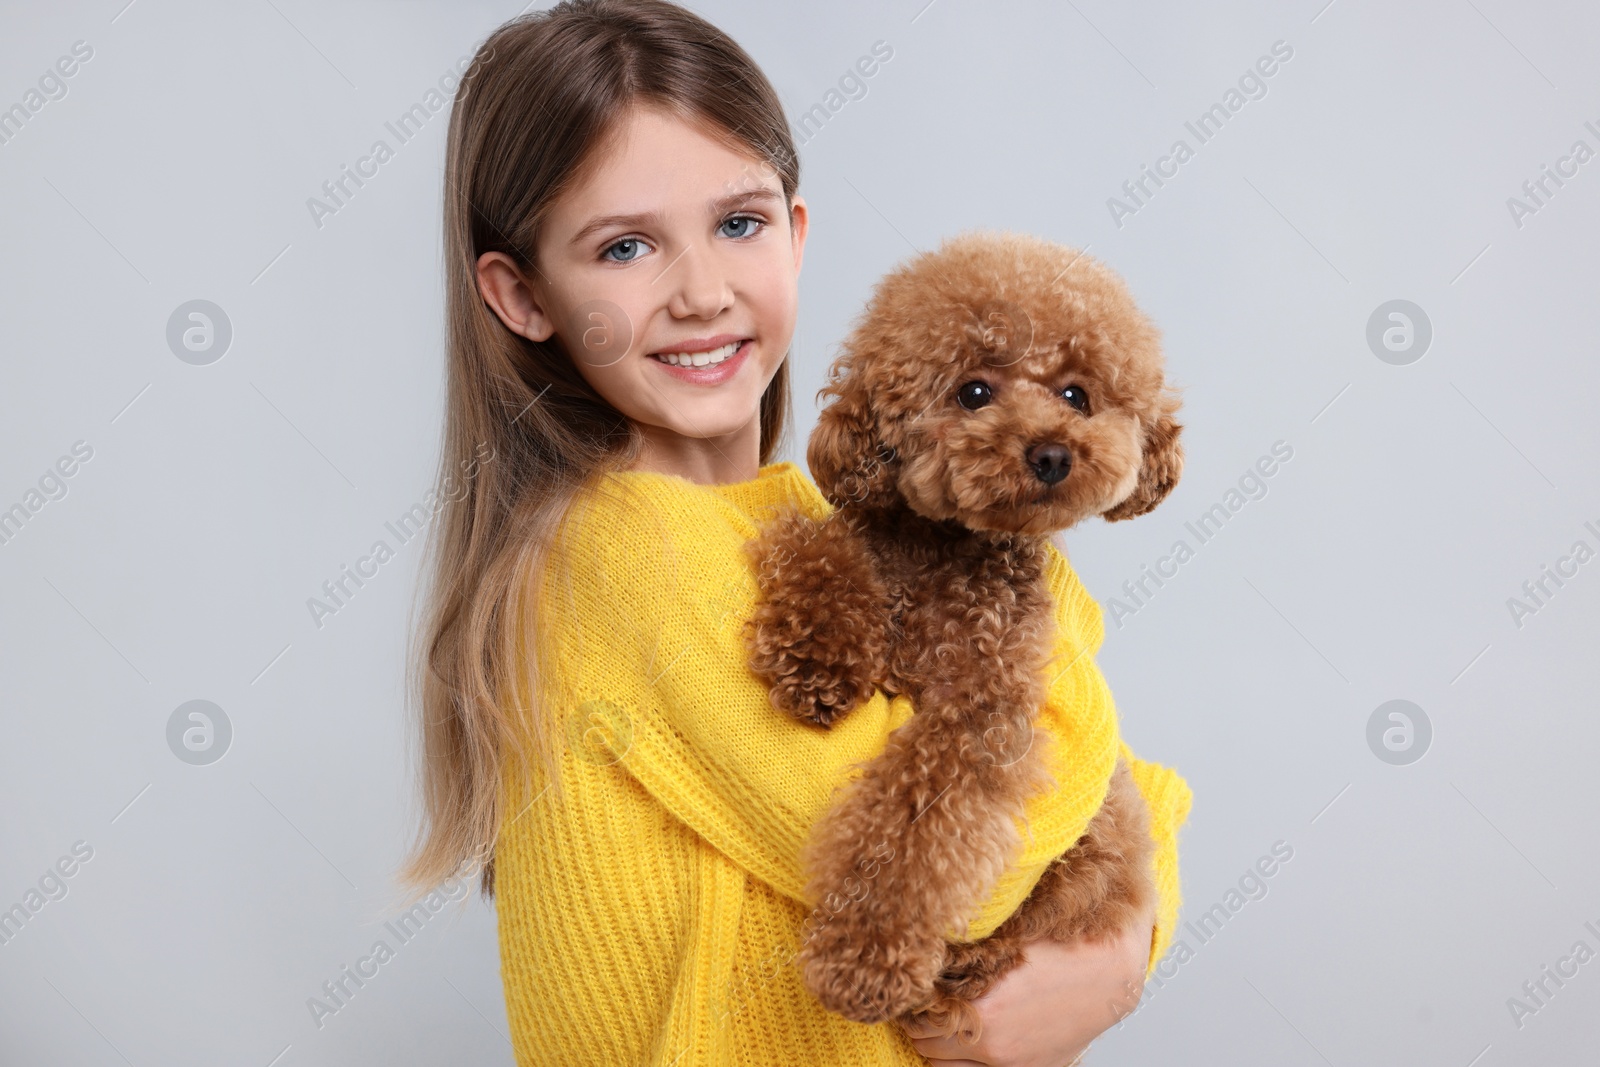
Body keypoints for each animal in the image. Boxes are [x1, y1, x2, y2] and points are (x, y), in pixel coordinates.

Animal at [742, 230, 1184, 1036]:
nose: (1051, 453)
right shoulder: (855, 529)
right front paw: (819, 660)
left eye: (1077, 395)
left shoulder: (981, 715)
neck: (943, 552)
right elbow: (813, 542)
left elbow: (912, 832)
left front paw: (863, 964)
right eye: (973, 391)